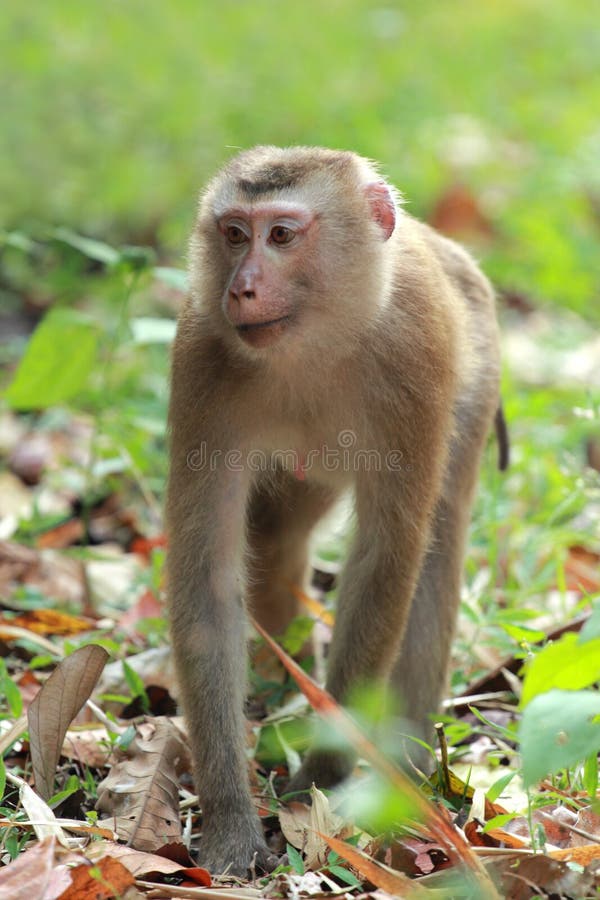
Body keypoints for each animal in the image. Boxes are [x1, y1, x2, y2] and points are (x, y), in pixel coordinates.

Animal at [165, 144, 506, 876]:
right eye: (233, 234)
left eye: (281, 235)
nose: (241, 287)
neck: (317, 341)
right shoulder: (202, 356)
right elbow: (208, 580)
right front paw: (230, 818)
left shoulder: (416, 356)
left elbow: (385, 560)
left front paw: (317, 782)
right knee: (276, 540)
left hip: (477, 375)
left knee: (437, 544)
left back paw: (408, 762)